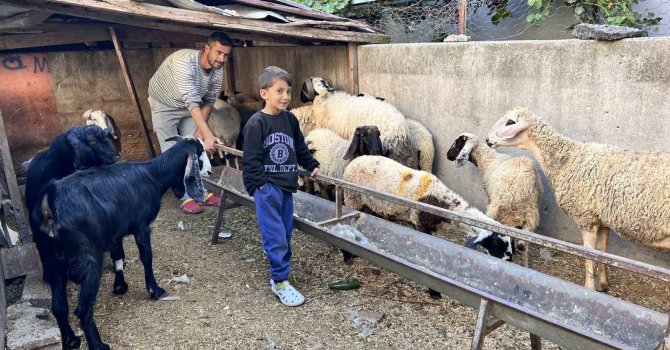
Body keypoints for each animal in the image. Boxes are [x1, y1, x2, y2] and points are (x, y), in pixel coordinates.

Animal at [36, 137, 213, 350]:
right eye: (201, 152)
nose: (210, 171)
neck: (152, 175)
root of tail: (50, 204)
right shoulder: (141, 225)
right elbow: (146, 256)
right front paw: (154, 290)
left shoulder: (115, 232)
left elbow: (118, 256)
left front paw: (120, 286)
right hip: (88, 258)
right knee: (82, 309)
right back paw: (98, 345)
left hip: (52, 260)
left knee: (59, 306)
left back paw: (71, 340)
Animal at [446, 132, 544, 266]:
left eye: (458, 143)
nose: (447, 155)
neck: (487, 160)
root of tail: (521, 189)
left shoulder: (489, 196)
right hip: (530, 217)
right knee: (522, 245)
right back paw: (524, 264)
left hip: (501, 211)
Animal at [486, 108, 670, 292]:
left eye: (510, 122)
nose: (488, 140)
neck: (567, 158)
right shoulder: (602, 220)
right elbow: (602, 251)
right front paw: (603, 284)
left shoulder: (586, 218)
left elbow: (589, 255)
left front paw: (589, 288)